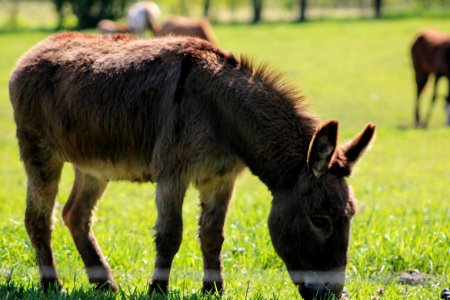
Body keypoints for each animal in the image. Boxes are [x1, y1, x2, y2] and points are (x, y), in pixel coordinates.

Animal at [8, 32, 374, 300]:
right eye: (320, 220)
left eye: (350, 218)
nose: (333, 296)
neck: (221, 110)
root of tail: (34, 50)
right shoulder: (172, 175)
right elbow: (170, 234)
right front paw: (157, 290)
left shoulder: (221, 180)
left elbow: (212, 235)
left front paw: (213, 289)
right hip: (40, 152)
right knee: (38, 219)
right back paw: (51, 285)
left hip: (93, 167)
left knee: (76, 215)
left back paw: (104, 284)